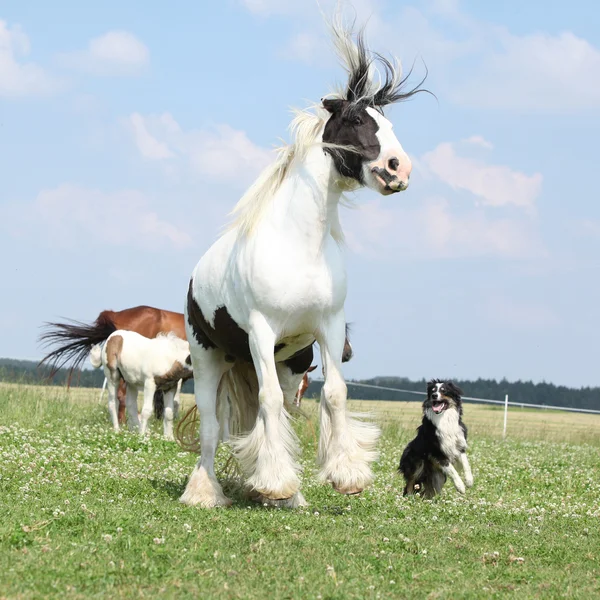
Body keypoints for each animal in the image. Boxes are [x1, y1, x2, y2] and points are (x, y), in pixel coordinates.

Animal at [178, 24, 426, 510]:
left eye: (388, 123)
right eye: (356, 121)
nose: (398, 168)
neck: (298, 247)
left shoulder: (328, 327)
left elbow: (333, 394)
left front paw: (345, 476)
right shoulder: (260, 331)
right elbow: (266, 405)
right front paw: (275, 483)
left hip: (286, 362)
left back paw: (287, 497)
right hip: (208, 357)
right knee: (214, 428)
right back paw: (205, 491)